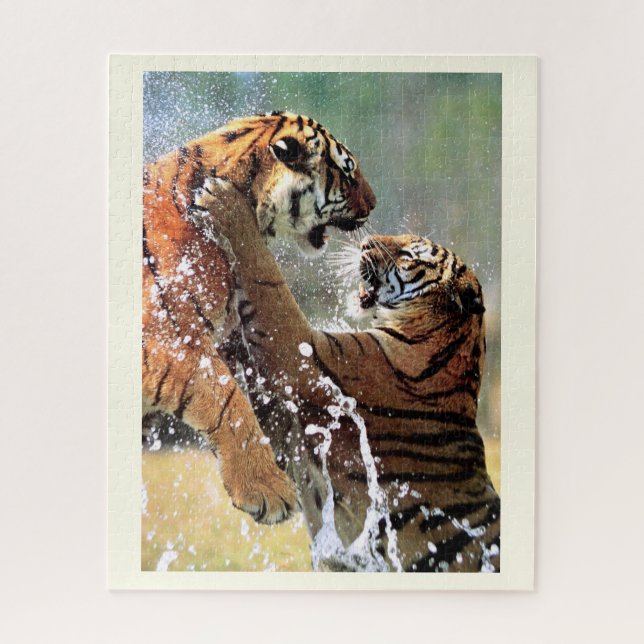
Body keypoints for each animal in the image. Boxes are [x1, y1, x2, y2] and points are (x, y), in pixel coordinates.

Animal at [190, 183, 500, 571]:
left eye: (408, 254)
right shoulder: (290, 436)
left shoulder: (306, 354)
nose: (365, 243)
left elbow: (268, 281)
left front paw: (224, 202)